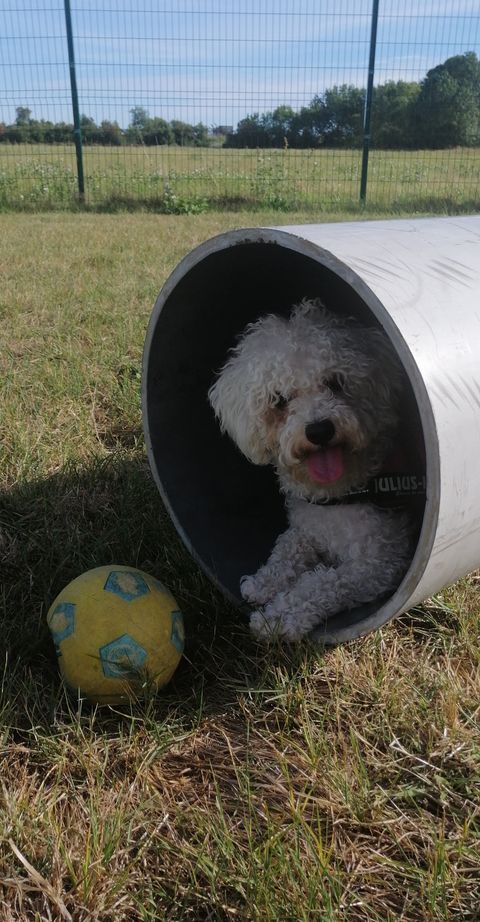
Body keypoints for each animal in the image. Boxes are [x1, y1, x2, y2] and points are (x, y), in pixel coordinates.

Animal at [208, 302, 414, 640]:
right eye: (279, 400)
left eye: (336, 383)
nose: (319, 430)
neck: (340, 493)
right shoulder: (307, 527)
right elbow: (287, 546)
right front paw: (263, 581)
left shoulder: (377, 562)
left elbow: (321, 582)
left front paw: (278, 616)